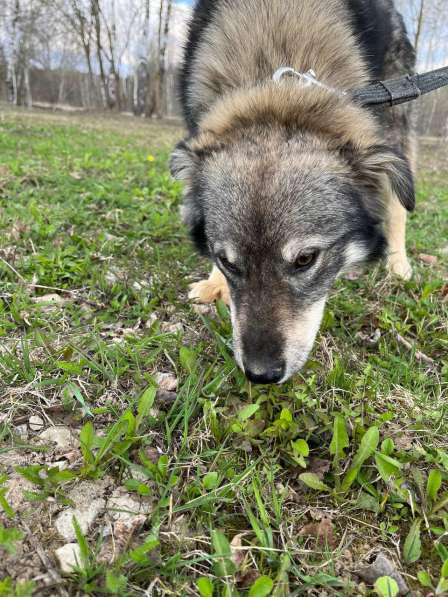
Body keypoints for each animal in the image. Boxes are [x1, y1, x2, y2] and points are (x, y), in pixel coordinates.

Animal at [171, 0, 416, 382]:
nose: (261, 374)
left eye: (305, 260)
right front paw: (215, 283)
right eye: (227, 261)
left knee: (397, 207)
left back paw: (398, 263)